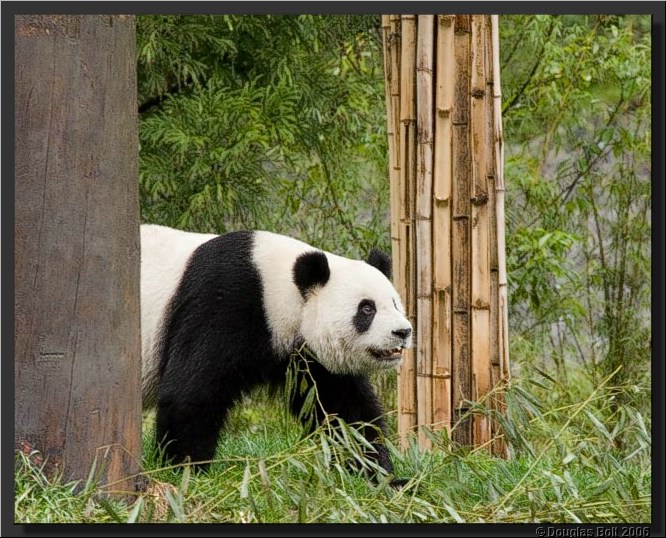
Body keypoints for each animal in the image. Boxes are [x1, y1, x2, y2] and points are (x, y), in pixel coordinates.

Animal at [140, 224, 413, 482]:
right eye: (367, 308)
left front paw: (380, 475)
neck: (276, 287)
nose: (403, 331)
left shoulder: (308, 357)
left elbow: (343, 409)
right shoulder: (221, 304)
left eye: (395, 303)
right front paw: (186, 471)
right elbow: (191, 391)